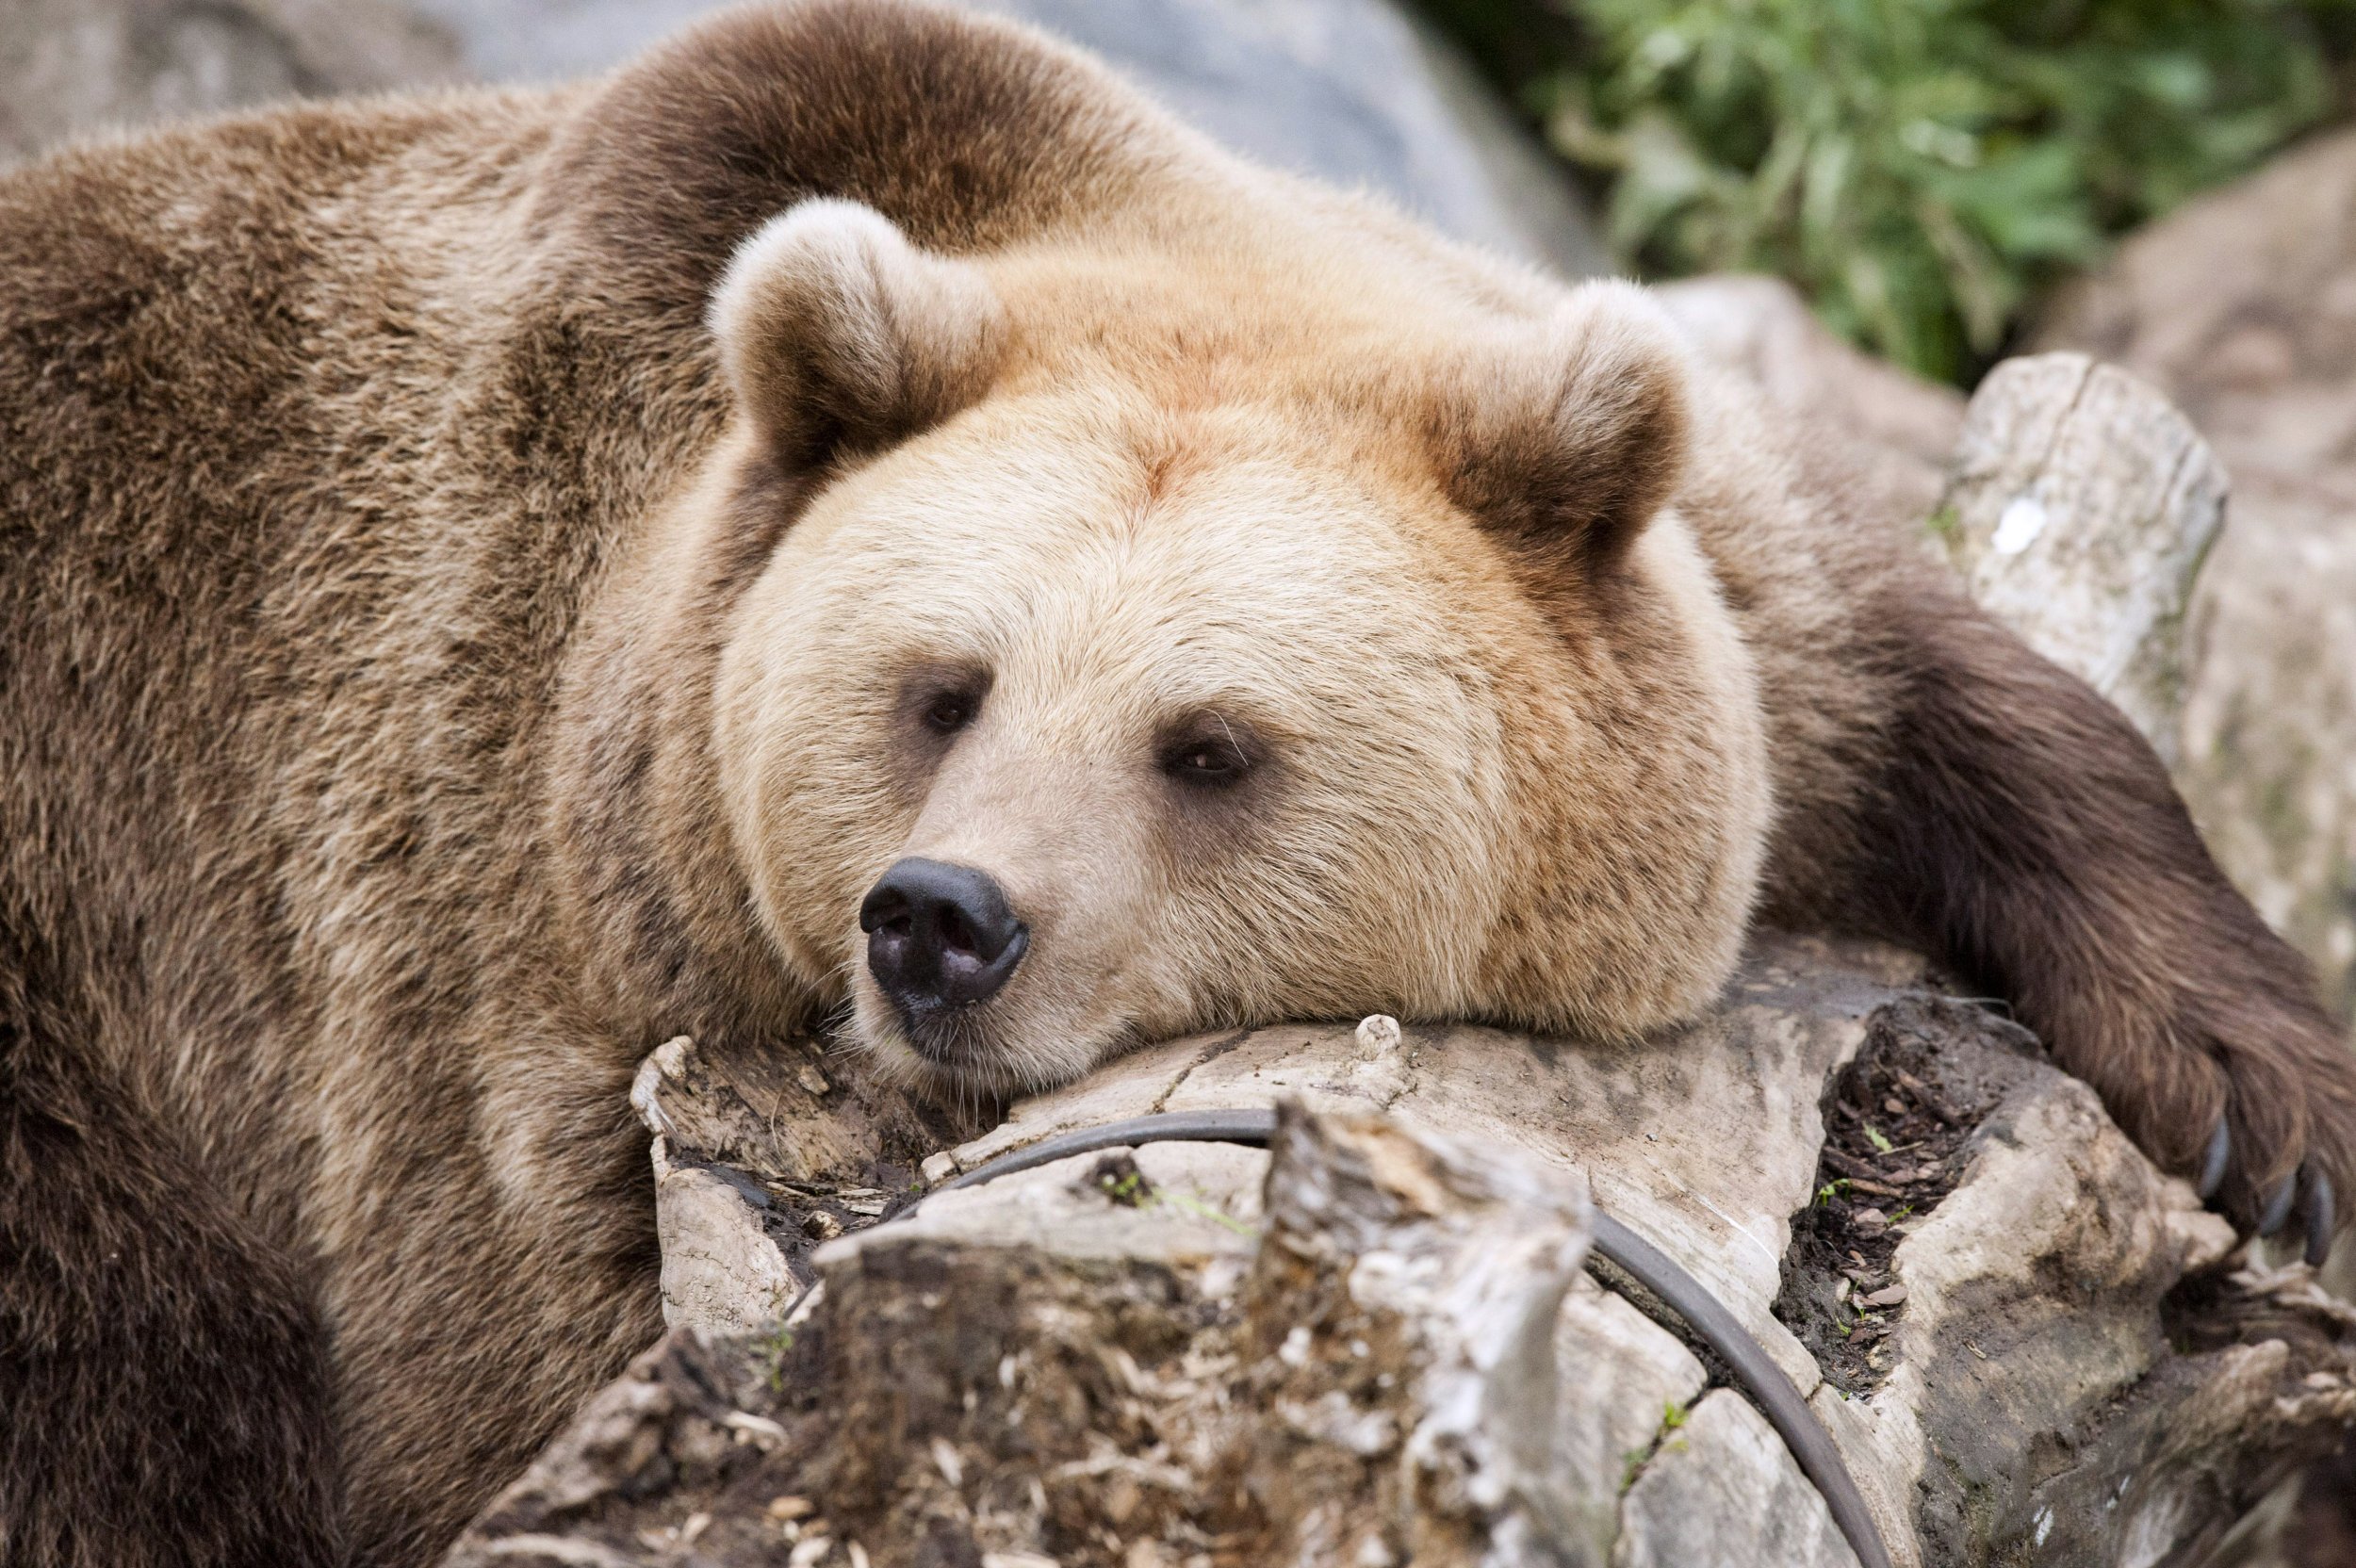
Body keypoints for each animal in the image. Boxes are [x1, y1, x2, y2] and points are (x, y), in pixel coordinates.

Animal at [0, 3, 2347, 1563]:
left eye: (1206, 744)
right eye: (940, 688)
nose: (937, 921)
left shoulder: (1728, 607)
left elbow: (1963, 699)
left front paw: (2268, 1104)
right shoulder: (483, 933)